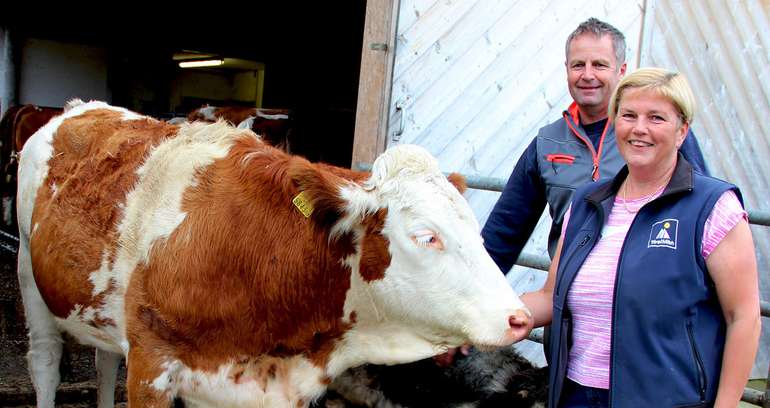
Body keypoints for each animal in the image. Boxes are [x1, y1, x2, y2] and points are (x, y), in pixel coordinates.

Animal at [19, 99, 536, 408]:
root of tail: (79, 108)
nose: (520, 318)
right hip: (30, 276)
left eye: (476, 230)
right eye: (427, 236)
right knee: (44, 360)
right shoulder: (151, 366)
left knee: (105, 359)